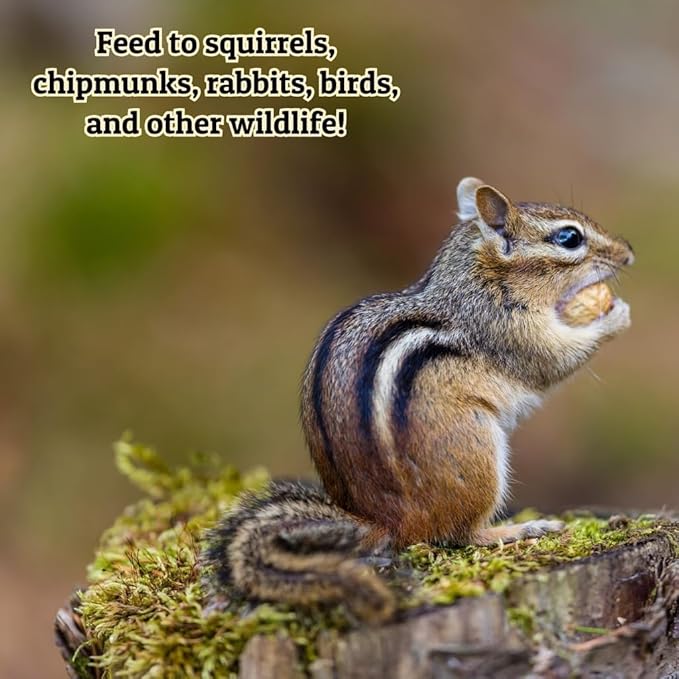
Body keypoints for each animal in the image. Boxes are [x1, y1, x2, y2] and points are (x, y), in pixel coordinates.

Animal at [202, 177, 634, 623]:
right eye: (569, 238)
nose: (628, 253)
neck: (479, 280)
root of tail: (386, 522)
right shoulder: (507, 331)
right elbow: (555, 360)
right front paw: (616, 314)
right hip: (476, 454)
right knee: (463, 534)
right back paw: (522, 529)